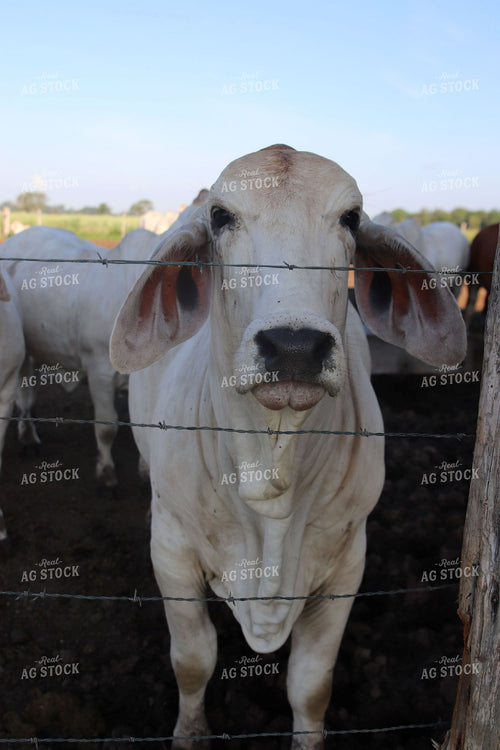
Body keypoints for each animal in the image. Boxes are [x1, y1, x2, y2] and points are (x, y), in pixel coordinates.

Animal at [2, 226, 162, 487]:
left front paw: (145, 472)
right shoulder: (99, 369)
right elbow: (107, 427)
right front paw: (106, 472)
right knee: (24, 391)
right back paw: (28, 435)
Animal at [110, 145, 467, 748]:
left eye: (351, 218)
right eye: (220, 216)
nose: (295, 345)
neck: (269, 474)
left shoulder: (347, 564)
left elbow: (311, 685)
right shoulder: (171, 550)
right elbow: (193, 660)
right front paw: (190, 733)